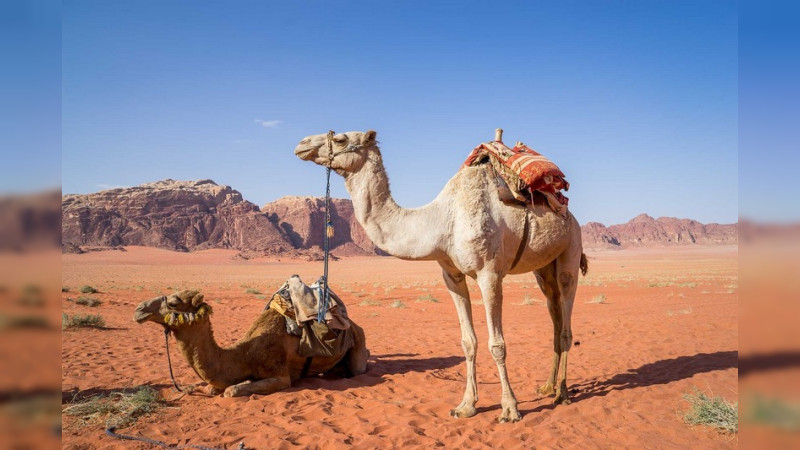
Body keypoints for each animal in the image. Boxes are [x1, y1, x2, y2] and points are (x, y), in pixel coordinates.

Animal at [133, 288, 368, 397]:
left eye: (173, 303)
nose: (139, 309)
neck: (244, 354)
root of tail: (353, 324)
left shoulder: (280, 375)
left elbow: (231, 390)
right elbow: (212, 387)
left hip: (358, 339)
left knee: (358, 368)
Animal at [294, 130, 587, 422]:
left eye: (341, 139)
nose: (302, 144)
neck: (442, 222)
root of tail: (569, 214)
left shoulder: (489, 273)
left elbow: (497, 344)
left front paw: (509, 408)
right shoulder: (452, 275)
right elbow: (468, 342)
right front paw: (466, 405)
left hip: (570, 249)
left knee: (565, 320)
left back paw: (562, 393)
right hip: (543, 267)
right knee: (553, 312)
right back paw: (547, 386)